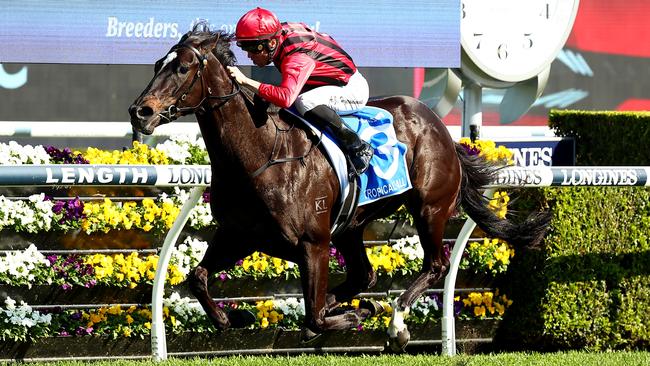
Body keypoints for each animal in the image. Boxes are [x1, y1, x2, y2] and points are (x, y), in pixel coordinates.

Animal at [128, 24, 548, 350]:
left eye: (183, 67)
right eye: (157, 65)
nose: (140, 111)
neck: (261, 153)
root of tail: (437, 125)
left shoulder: (312, 243)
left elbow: (313, 319)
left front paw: (357, 314)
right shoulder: (239, 233)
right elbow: (198, 278)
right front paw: (236, 317)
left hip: (429, 207)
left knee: (436, 265)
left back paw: (393, 321)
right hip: (351, 226)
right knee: (365, 276)